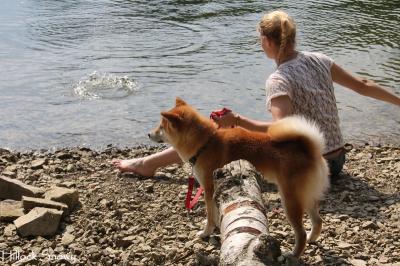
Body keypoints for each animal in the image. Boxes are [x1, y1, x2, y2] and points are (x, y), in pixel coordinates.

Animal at [148, 97, 330, 258]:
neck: (205, 144)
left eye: (161, 127)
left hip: (290, 200)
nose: (149, 134)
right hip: (306, 197)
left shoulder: (208, 189)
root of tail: (310, 150)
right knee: (318, 221)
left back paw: (293, 254)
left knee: (301, 233)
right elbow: (215, 214)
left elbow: (209, 215)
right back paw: (312, 239)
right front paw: (216, 228)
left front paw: (206, 232)